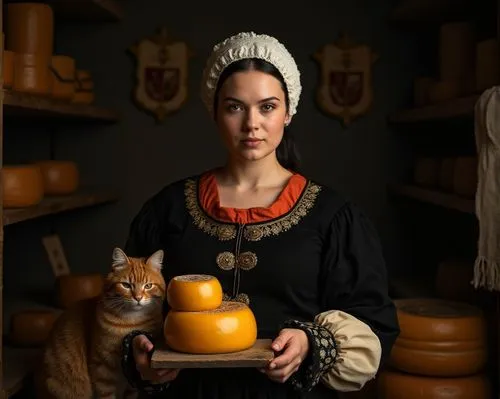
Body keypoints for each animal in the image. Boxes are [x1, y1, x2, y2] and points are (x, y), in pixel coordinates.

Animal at [36, 248, 168, 398]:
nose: (138, 298)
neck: (131, 323)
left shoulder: (132, 383)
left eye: (148, 286)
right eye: (126, 285)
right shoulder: (102, 371)